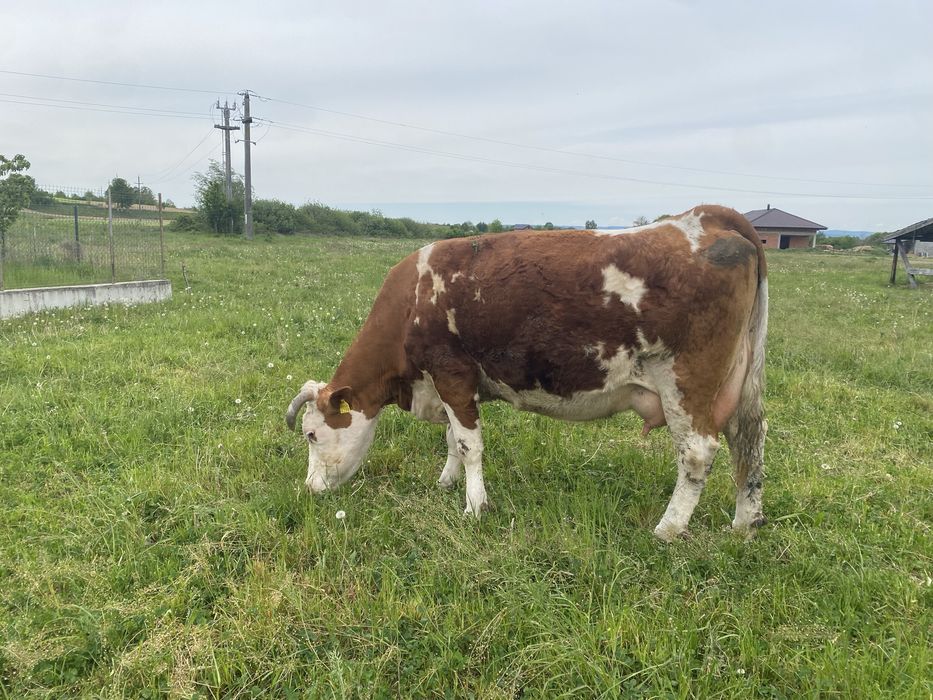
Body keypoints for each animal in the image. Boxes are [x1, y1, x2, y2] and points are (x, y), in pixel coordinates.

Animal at [286, 205, 768, 541]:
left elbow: (469, 445)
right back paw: (744, 523)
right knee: (749, 437)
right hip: (739, 381)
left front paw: (474, 506)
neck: (411, 304)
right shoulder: (453, 387)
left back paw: (667, 529)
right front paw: (446, 483)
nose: (309, 489)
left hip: (687, 380)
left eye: (311, 434)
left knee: (698, 452)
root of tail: (703, 217)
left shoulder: (451, 372)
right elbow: (452, 440)